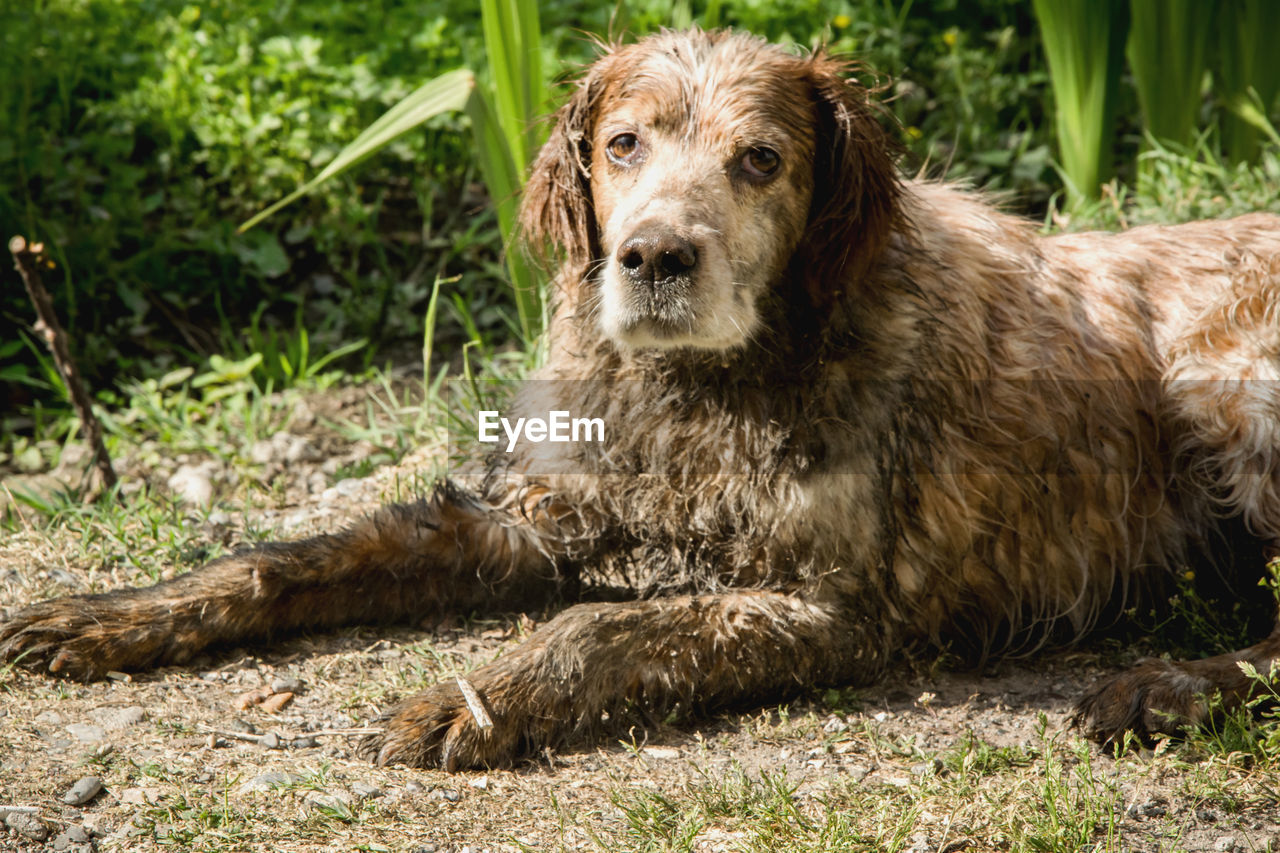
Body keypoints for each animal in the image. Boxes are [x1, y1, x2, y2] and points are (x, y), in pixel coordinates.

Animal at [2, 29, 1280, 768]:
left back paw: (1162, 689)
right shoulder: (529, 516)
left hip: (1216, 389)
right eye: (621, 144)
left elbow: (597, 626)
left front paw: (471, 699)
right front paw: (106, 615)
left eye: (760, 159)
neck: (704, 390)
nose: (656, 256)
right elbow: (284, 558)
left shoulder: (836, 607)